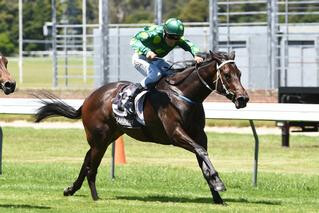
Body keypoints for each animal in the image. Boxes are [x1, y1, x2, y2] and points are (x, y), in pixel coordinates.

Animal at [35, 50, 250, 204]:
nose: (243, 99)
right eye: (227, 75)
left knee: (87, 158)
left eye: (239, 74)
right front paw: (219, 183)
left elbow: (202, 157)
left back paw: (71, 189)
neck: (183, 94)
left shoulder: (199, 134)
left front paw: (217, 195)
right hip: (99, 137)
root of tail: (89, 98)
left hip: (109, 136)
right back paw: (95, 197)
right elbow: (201, 152)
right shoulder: (176, 134)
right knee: (92, 166)